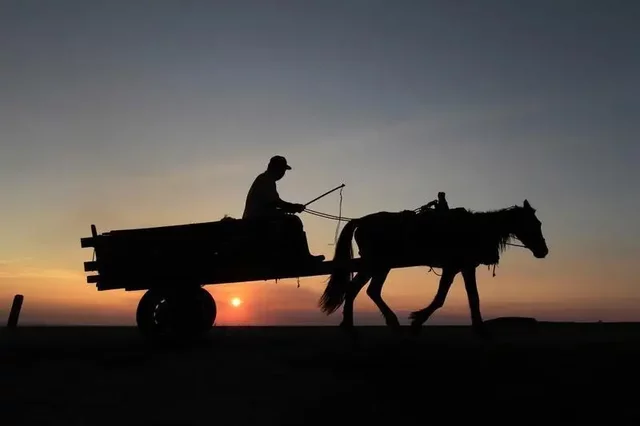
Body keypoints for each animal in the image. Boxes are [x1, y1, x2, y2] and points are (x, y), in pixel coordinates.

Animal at [318, 199, 548, 336]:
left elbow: (472, 297)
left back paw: (359, 324)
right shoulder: (454, 266)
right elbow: (442, 298)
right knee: (362, 290)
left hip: (378, 265)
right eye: (535, 224)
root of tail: (361, 220)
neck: (473, 229)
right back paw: (364, 324)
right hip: (379, 264)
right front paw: (418, 320)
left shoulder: (463, 267)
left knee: (362, 290)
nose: (543, 251)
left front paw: (479, 326)